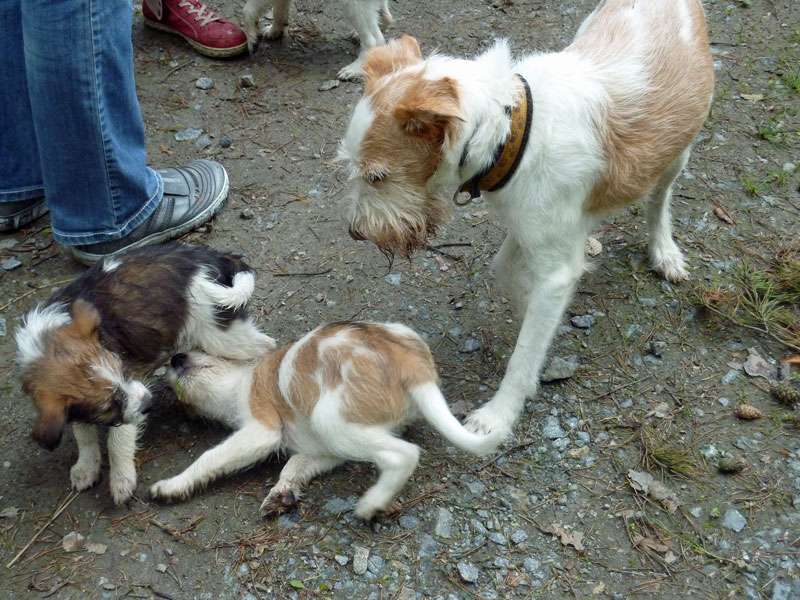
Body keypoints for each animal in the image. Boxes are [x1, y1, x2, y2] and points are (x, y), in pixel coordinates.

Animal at [15, 242, 276, 504]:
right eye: (109, 405)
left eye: (122, 370)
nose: (150, 404)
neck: (45, 337)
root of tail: (214, 256)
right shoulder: (77, 408)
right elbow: (83, 432)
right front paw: (86, 467)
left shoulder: (132, 385)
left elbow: (117, 440)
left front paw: (121, 479)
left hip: (221, 333)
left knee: (265, 347)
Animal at [150, 321, 501, 520]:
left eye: (200, 346)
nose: (174, 358)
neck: (242, 381)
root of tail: (411, 365)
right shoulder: (324, 452)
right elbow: (294, 466)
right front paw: (282, 494)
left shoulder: (261, 430)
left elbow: (209, 458)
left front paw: (172, 485)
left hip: (329, 420)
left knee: (405, 454)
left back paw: (371, 504)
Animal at [242, 0, 393, 80]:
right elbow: (279, 10)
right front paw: (274, 30)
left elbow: (248, 11)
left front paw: (252, 38)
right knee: (386, 17)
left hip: (355, 5)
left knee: (373, 39)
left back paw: (355, 68)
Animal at [338, 0, 715, 440]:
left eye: (378, 176)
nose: (355, 232)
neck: (510, 133)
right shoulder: (530, 226)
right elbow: (508, 275)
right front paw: (532, 319)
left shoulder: (556, 269)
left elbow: (523, 355)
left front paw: (498, 415)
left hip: (677, 151)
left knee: (660, 201)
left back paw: (664, 251)